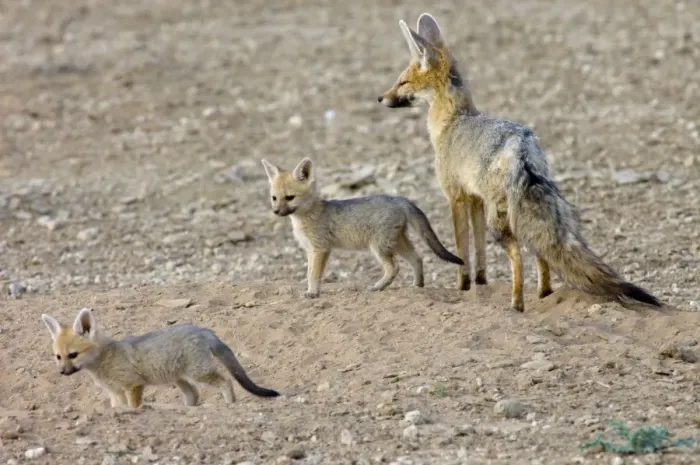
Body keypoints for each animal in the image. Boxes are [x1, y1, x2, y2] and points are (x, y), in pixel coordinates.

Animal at [41, 308, 280, 408]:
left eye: (73, 355)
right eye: (58, 357)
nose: (62, 372)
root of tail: (203, 330)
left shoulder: (133, 385)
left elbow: (134, 406)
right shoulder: (115, 393)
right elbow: (117, 408)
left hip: (199, 373)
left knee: (226, 381)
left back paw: (230, 404)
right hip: (180, 379)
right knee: (194, 395)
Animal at [260, 157, 464, 297]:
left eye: (290, 198)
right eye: (274, 198)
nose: (276, 211)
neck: (308, 216)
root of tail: (398, 198)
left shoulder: (320, 249)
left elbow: (313, 274)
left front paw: (312, 292)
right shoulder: (311, 250)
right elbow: (309, 272)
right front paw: (311, 290)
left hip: (379, 247)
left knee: (395, 267)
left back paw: (378, 286)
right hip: (396, 243)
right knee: (417, 258)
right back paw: (417, 286)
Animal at [377, 13, 662, 312]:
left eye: (402, 83)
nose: (380, 98)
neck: (454, 120)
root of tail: (522, 144)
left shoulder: (455, 196)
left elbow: (462, 248)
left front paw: (463, 286)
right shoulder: (475, 199)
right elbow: (479, 249)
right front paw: (481, 283)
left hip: (501, 222)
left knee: (519, 256)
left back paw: (517, 303)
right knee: (541, 254)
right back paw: (544, 295)